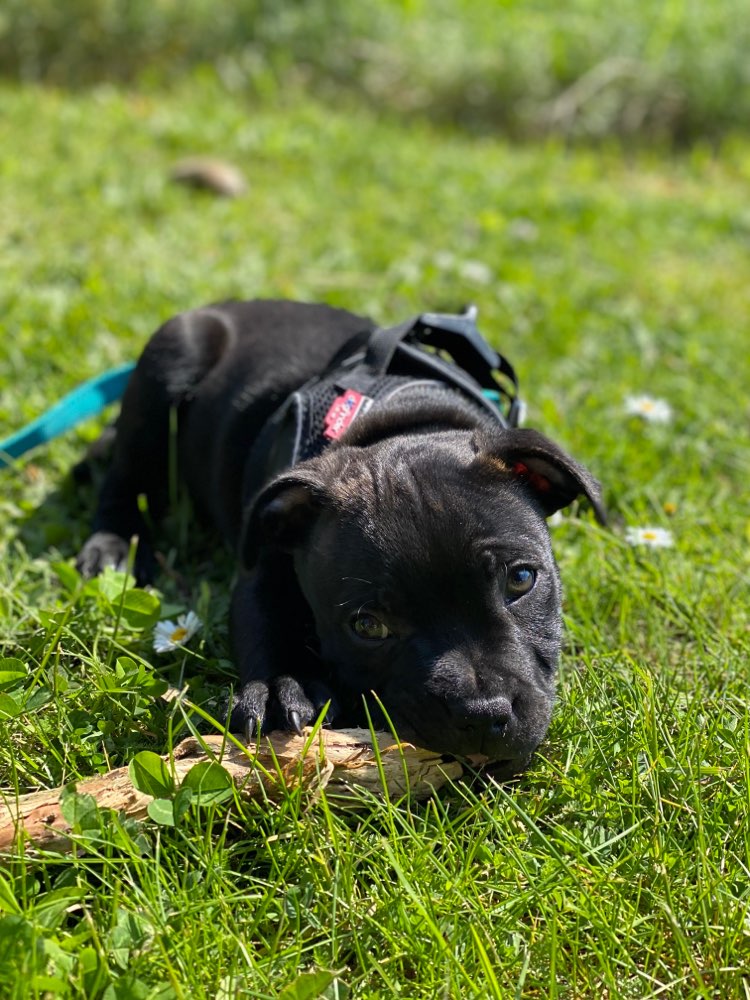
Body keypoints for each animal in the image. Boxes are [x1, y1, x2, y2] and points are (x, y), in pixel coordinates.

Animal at [78, 296, 604, 772]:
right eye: (367, 626)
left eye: (521, 580)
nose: (479, 714)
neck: (402, 423)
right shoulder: (261, 564)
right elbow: (263, 621)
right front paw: (280, 687)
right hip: (168, 366)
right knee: (124, 477)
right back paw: (113, 549)